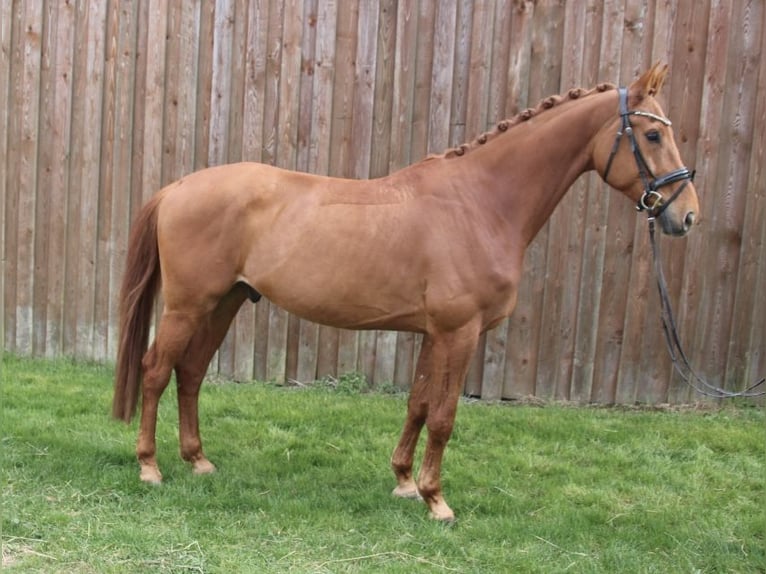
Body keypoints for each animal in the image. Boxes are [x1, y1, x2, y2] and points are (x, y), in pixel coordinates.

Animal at [112, 63, 699, 522]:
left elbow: (417, 405)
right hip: (188, 305)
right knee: (156, 371)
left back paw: (198, 461)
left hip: (225, 302)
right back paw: (150, 467)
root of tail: (177, 187)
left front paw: (404, 482)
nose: (686, 214)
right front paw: (437, 500)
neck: (479, 203)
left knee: (191, 374)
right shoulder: (460, 333)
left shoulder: (433, 333)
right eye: (651, 136)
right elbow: (443, 417)